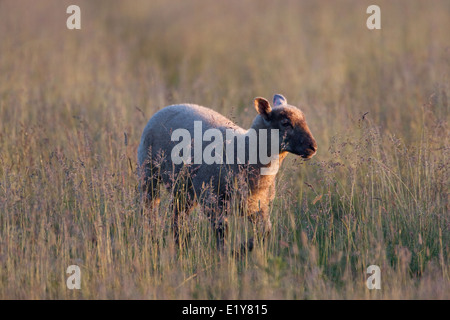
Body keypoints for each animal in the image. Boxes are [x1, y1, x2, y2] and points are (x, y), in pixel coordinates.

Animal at [137, 94, 316, 251]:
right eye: (286, 123)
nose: (313, 147)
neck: (243, 149)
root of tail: (171, 106)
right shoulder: (212, 200)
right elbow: (222, 233)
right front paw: (228, 255)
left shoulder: (258, 206)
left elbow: (265, 232)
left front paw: (244, 248)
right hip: (149, 173)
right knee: (149, 210)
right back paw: (153, 238)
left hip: (184, 189)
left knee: (177, 216)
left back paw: (180, 245)